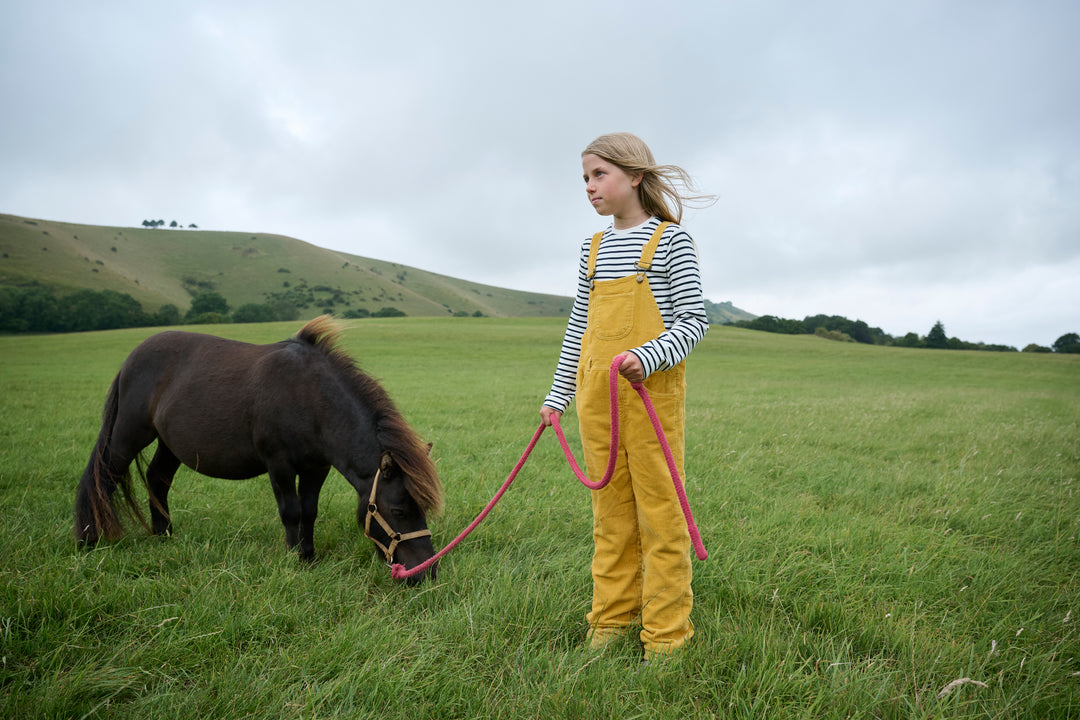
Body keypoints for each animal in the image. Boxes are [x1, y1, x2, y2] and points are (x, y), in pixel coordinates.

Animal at [73, 317, 442, 582]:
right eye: (398, 511)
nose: (427, 571)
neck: (310, 397)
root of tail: (132, 357)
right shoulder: (279, 464)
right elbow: (291, 512)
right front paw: (294, 558)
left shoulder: (316, 468)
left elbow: (309, 511)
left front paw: (309, 556)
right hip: (129, 433)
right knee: (105, 476)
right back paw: (88, 538)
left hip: (169, 443)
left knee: (157, 478)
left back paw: (163, 534)